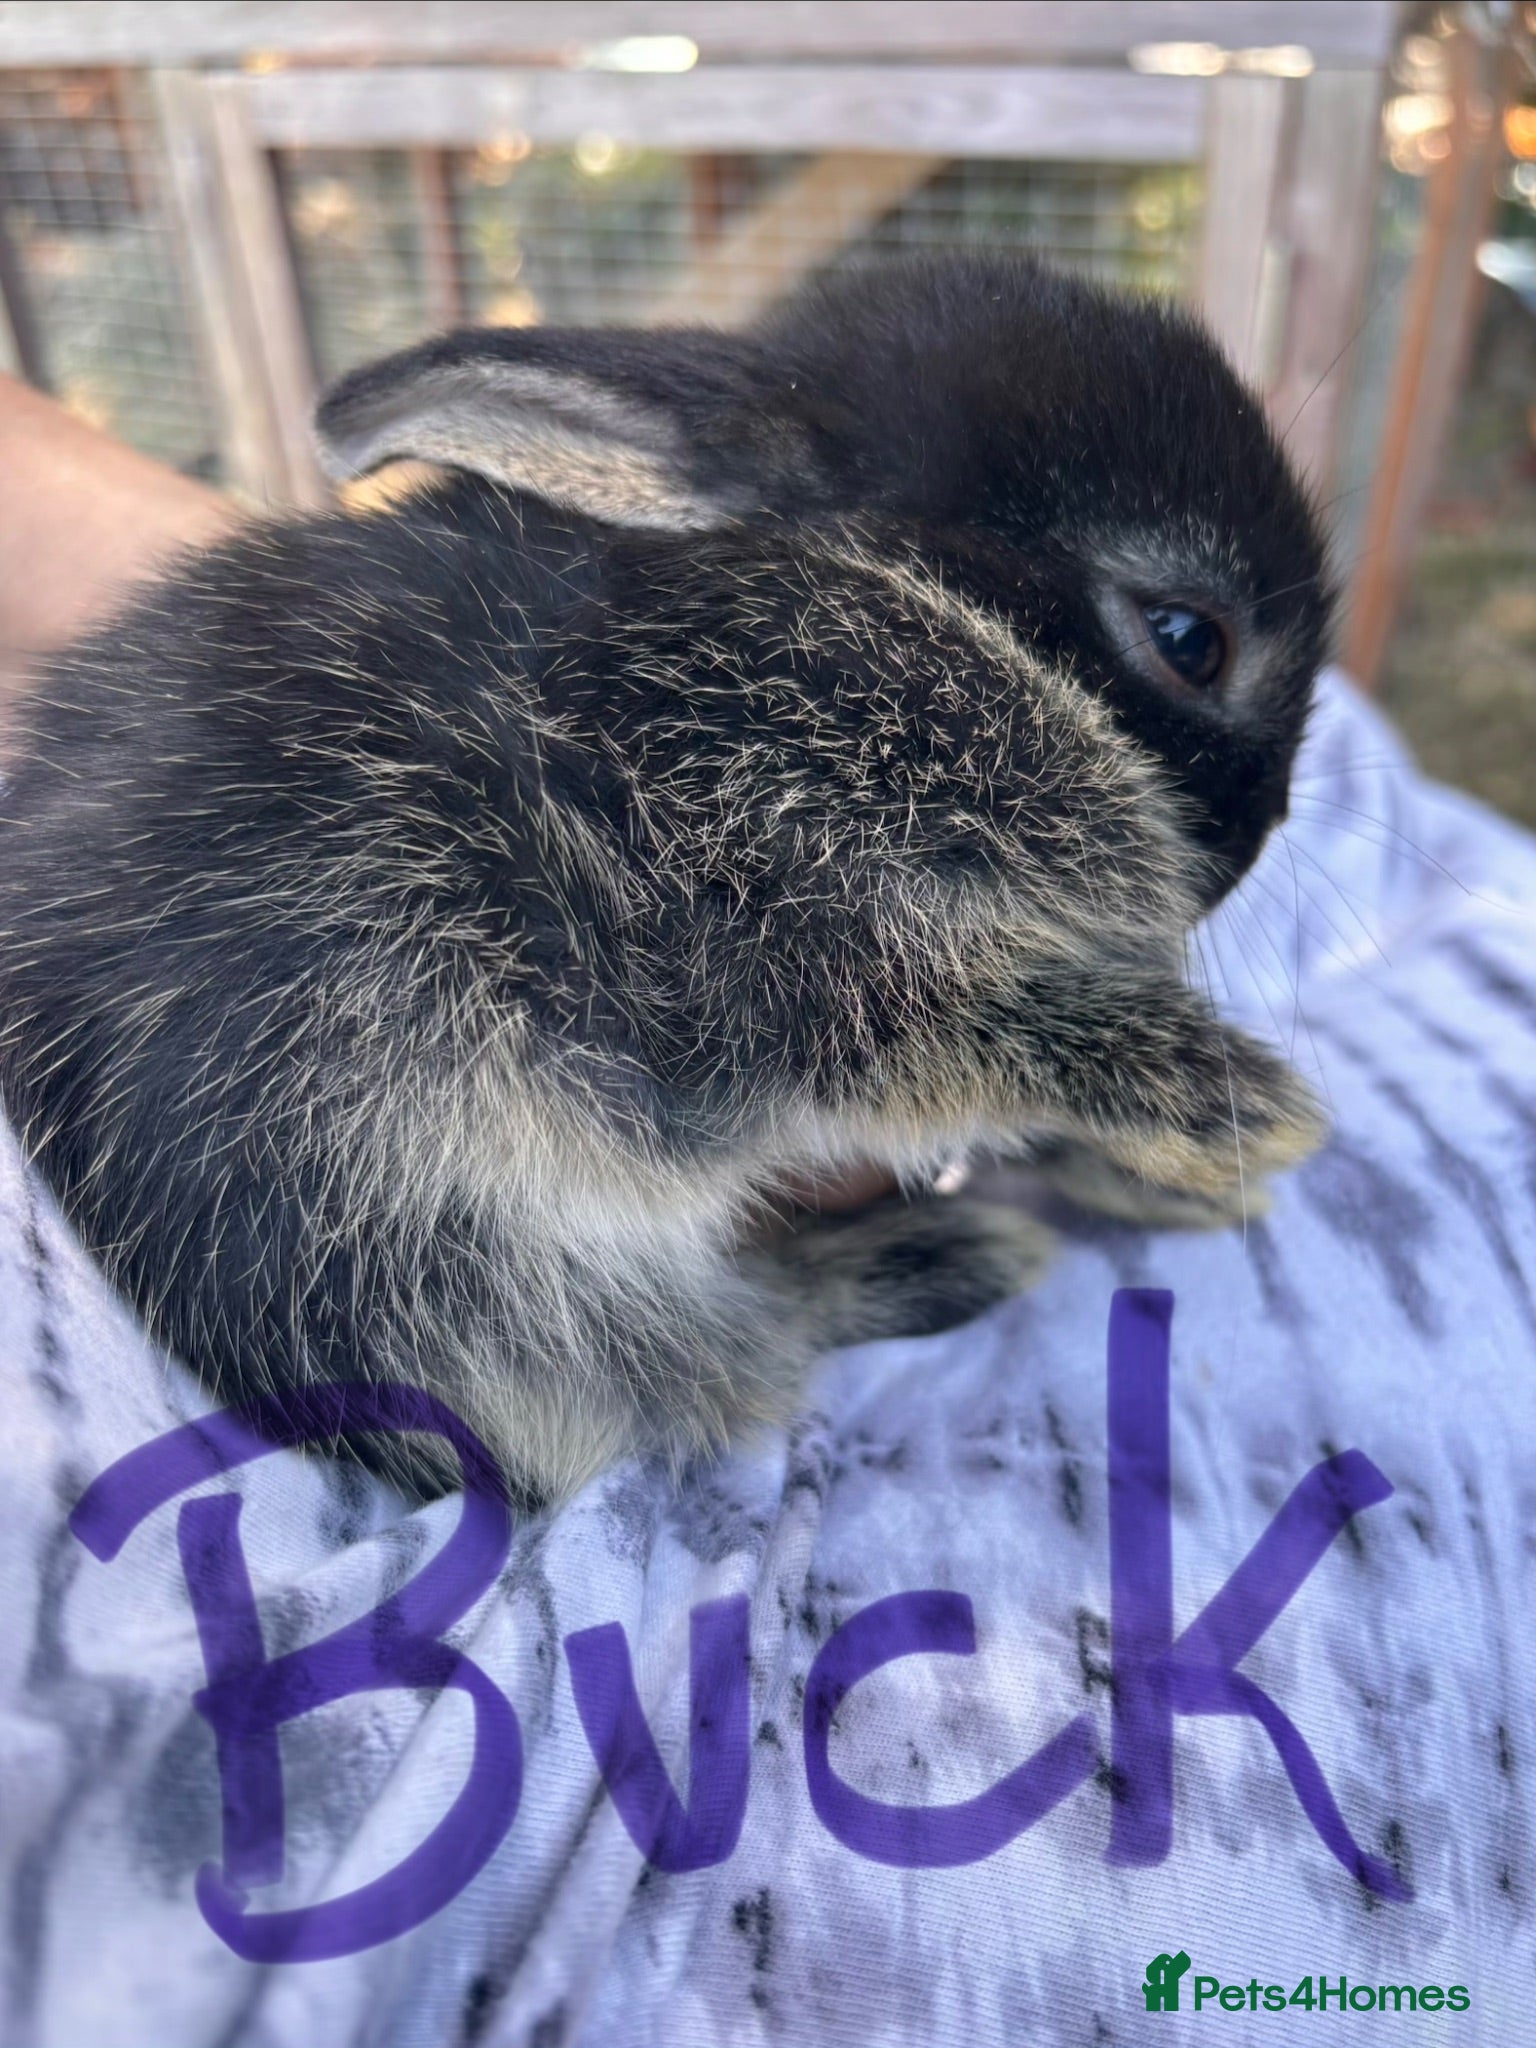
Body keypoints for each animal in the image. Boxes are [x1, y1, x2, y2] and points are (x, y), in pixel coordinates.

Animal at [0, 254, 1330, 1502]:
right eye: (1188, 639)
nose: (1246, 848)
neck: (873, 612)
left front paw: (1186, 1178)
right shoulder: (740, 940)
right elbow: (968, 1036)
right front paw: (1242, 1111)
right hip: (431, 1259)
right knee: (698, 1362)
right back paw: (941, 1258)